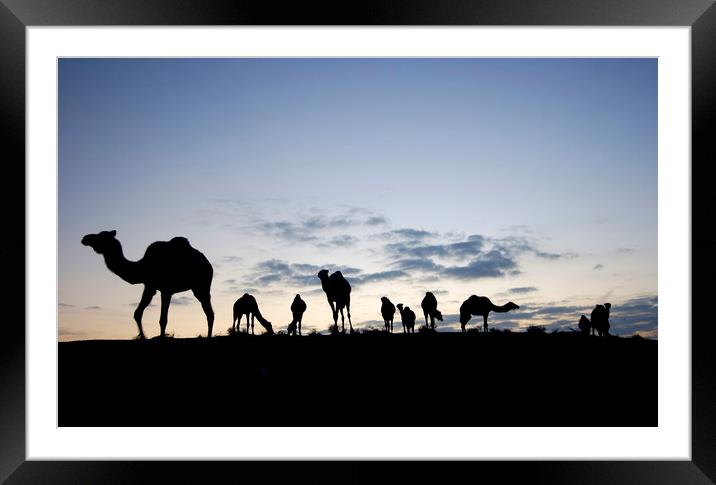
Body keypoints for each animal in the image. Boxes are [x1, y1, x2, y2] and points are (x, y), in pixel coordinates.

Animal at [82, 230, 215, 336]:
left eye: (101, 236)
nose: (85, 238)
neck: (143, 267)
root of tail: (208, 264)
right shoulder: (150, 286)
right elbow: (137, 313)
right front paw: (142, 336)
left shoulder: (166, 289)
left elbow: (163, 319)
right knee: (209, 313)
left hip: (202, 285)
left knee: (209, 313)